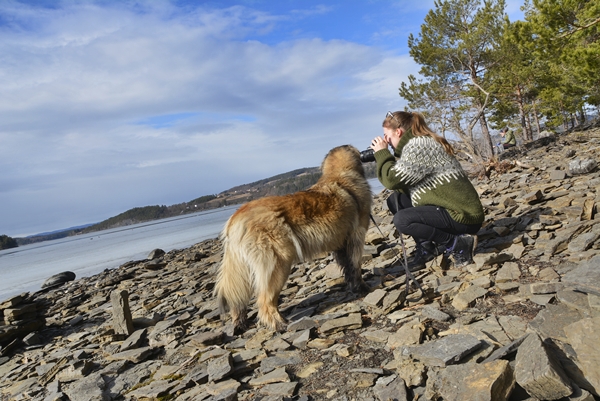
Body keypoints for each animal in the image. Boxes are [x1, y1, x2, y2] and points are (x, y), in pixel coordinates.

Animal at [213, 145, 372, 332]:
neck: (339, 174)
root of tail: (235, 217)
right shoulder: (356, 236)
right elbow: (355, 266)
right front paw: (362, 287)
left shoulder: (341, 244)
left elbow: (347, 267)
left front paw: (353, 287)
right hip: (277, 263)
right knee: (265, 301)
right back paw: (279, 324)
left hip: (242, 267)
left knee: (238, 298)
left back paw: (240, 322)